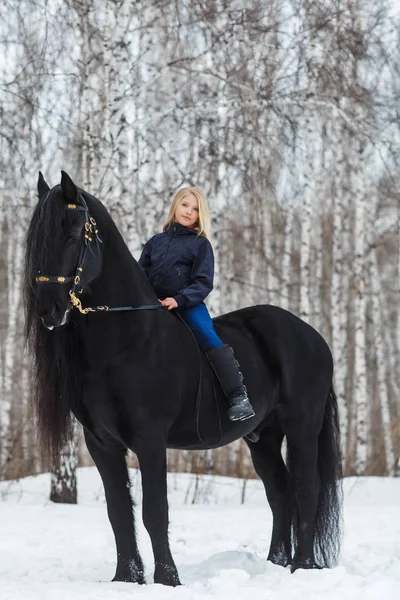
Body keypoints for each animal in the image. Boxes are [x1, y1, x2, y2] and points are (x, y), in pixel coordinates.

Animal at [23, 171, 342, 584]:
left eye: (74, 230)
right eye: (36, 237)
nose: (48, 309)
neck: (129, 338)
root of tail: (313, 336)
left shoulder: (150, 440)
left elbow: (154, 513)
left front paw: (167, 579)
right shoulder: (102, 444)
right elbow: (118, 513)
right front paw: (126, 579)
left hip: (302, 427)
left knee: (306, 490)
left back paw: (302, 567)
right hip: (263, 437)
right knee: (280, 493)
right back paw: (276, 563)